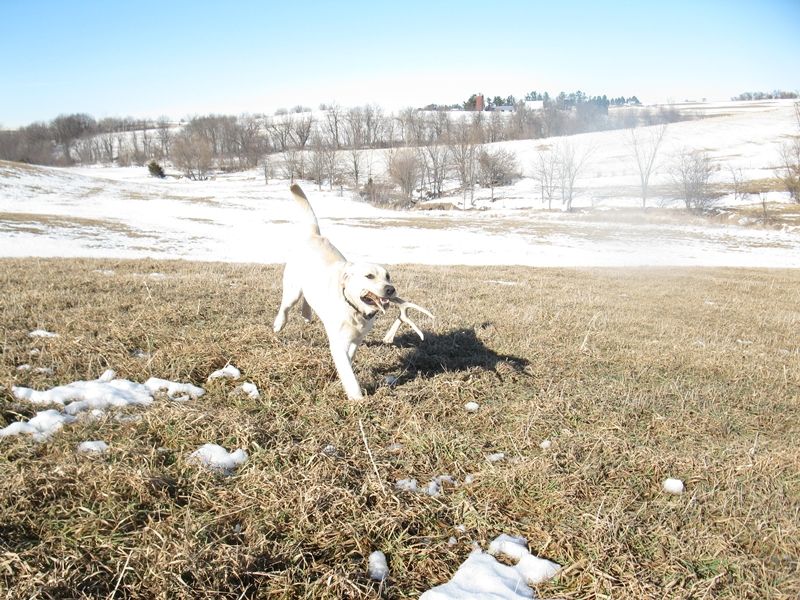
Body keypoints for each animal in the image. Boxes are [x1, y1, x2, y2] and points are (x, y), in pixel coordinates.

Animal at [276, 183, 424, 398]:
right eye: (369, 276)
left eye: (388, 276)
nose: (390, 289)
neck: (355, 310)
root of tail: (315, 235)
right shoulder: (338, 342)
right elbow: (347, 371)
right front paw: (357, 397)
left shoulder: (356, 339)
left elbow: (351, 355)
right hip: (292, 289)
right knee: (286, 306)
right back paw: (279, 324)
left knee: (308, 300)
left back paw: (306, 315)